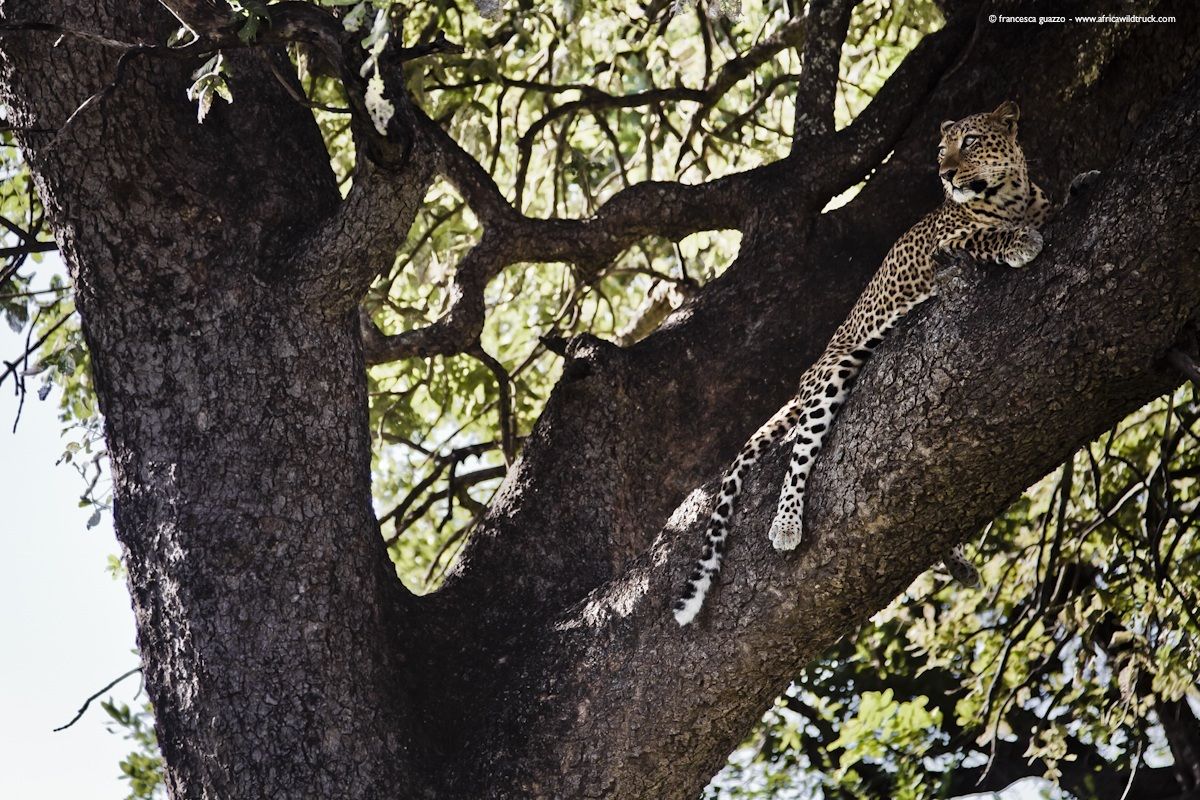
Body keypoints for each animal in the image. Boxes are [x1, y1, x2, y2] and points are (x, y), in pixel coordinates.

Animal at [674, 100, 1062, 626]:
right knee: (799, 453)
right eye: (941, 150)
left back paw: (957, 561)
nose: (945, 174)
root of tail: (802, 378)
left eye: (971, 142)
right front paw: (1020, 241)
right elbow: (986, 237)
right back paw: (786, 525)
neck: (1012, 197)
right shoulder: (947, 248)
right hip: (833, 373)